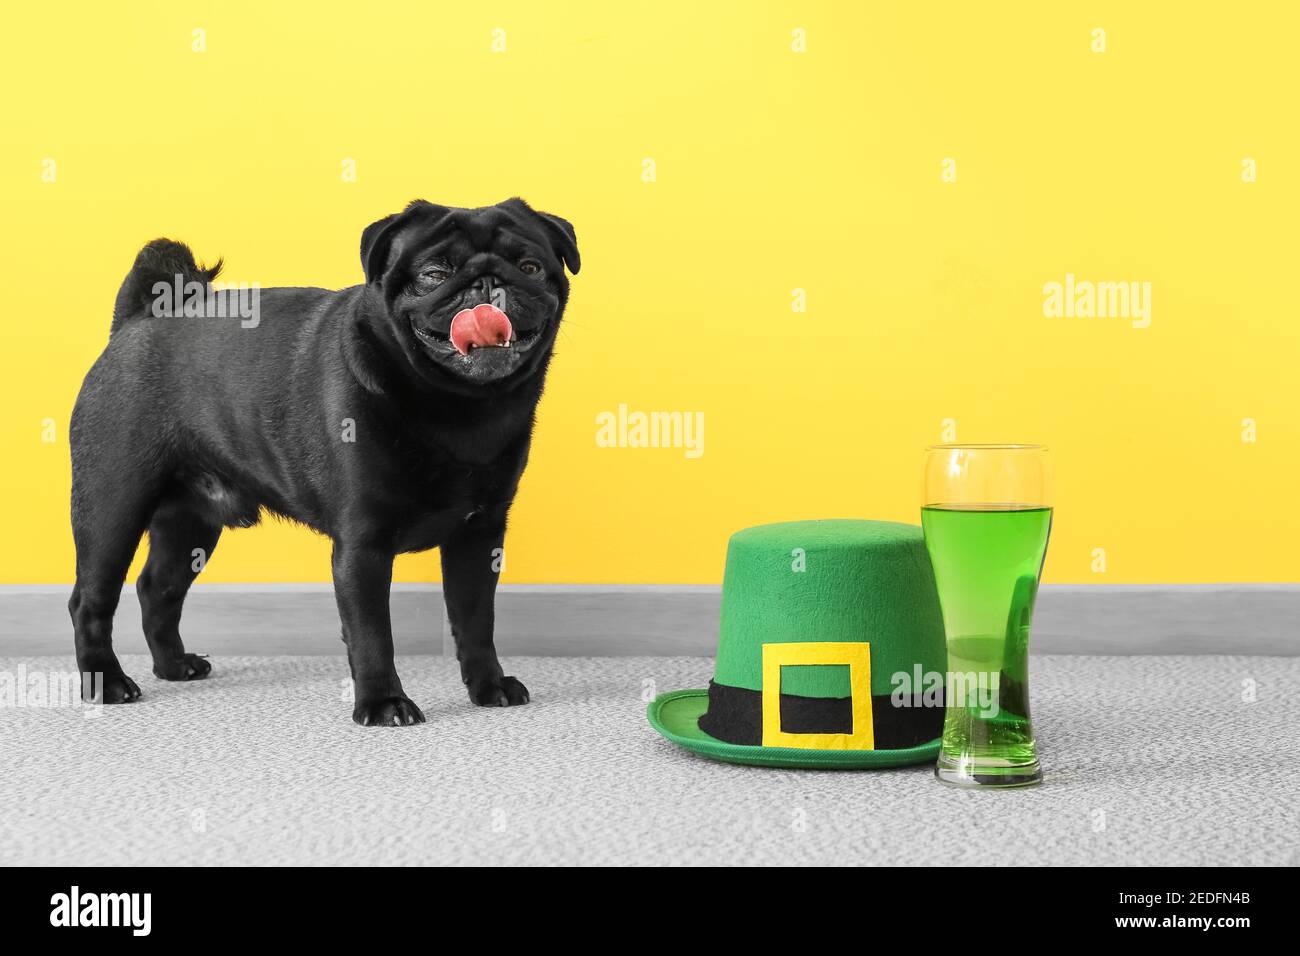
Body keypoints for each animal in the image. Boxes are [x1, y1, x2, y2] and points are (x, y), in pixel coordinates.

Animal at [67, 200, 579, 723]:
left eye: (530, 268)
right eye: (434, 274)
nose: (486, 282)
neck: (458, 407)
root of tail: (137, 320)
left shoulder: (479, 536)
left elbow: (475, 620)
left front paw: (488, 685)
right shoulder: (362, 546)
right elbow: (372, 635)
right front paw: (383, 702)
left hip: (190, 524)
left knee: (158, 589)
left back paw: (173, 666)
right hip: (112, 508)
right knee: (91, 601)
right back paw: (106, 682)